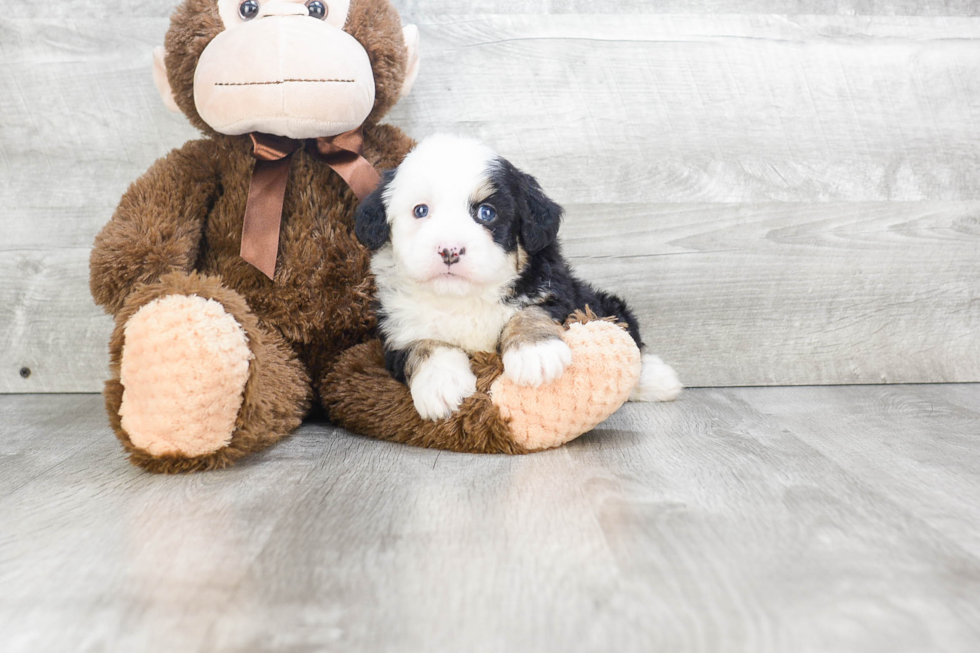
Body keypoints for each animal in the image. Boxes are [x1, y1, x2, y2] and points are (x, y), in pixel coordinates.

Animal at [352, 135, 680, 420]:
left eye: (486, 213)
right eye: (420, 211)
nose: (450, 250)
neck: (464, 299)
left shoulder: (555, 290)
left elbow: (529, 312)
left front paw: (535, 352)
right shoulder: (395, 327)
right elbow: (422, 343)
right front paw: (442, 384)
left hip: (604, 302)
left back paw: (658, 379)